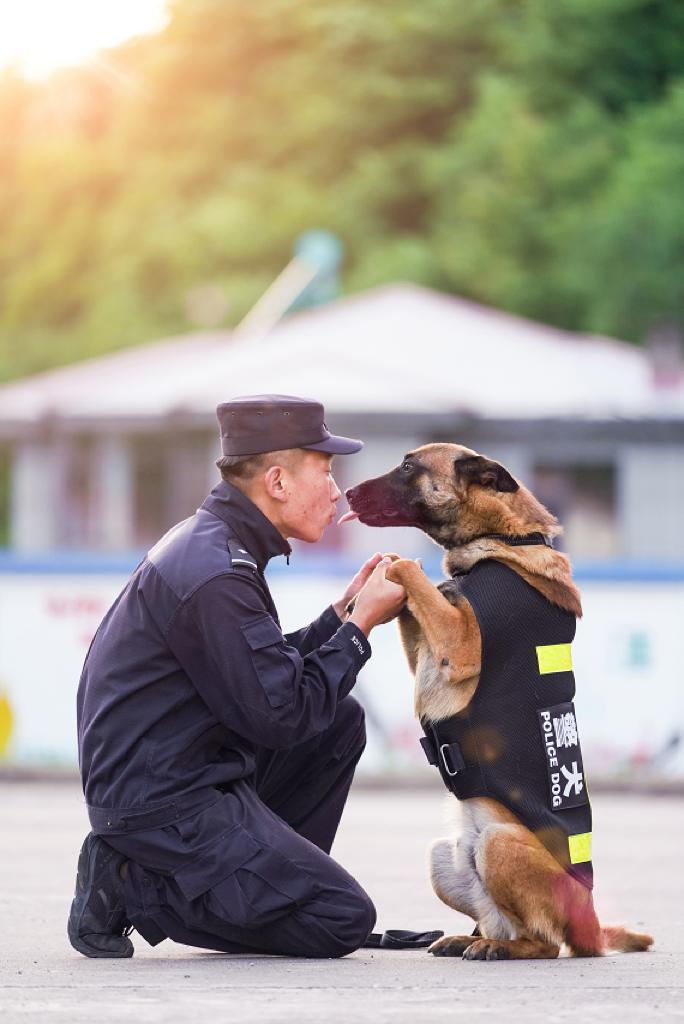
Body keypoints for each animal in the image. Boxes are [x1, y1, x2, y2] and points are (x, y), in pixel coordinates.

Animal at [348, 442, 651, 958]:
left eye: (408, 466)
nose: (345, 492)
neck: (507, 540)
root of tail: (589, 924)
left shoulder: (460, 647)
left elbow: (409, 570)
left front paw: (392, 568)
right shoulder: (432, 650)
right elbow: (416, 602)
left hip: (499, 843)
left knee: (545, 943)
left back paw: (504, 948)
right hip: (443, 856)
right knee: (495, 921)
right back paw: (468, 938)